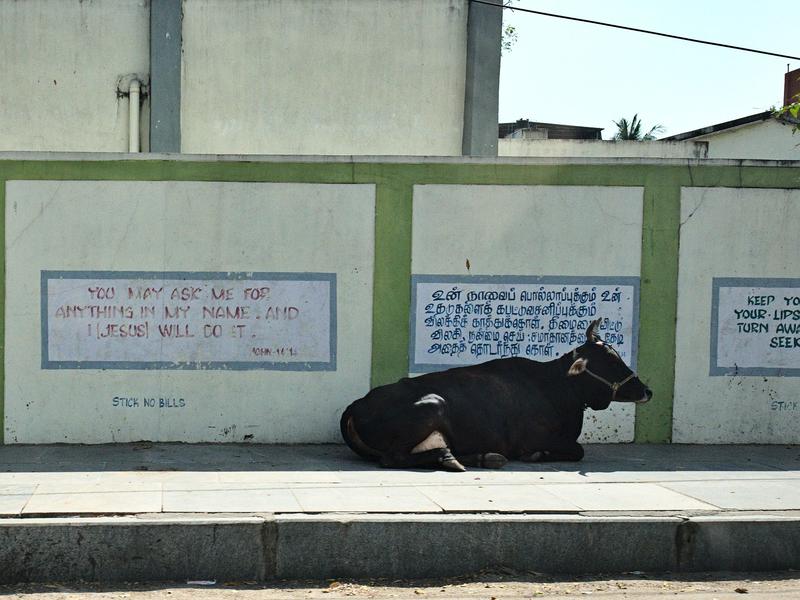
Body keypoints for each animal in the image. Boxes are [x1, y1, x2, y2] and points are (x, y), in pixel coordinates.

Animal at [340, 318, 652, 474]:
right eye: (611, 362)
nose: (647, 391)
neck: (556, 387)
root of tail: (357, 404)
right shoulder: (535, 439)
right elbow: (577, 450)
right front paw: (537, 456)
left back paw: (483, 457)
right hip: (432, 405)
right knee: (392, 459)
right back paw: (449, 459)